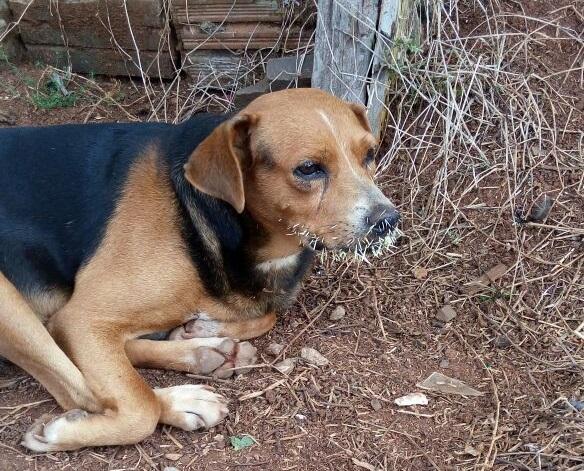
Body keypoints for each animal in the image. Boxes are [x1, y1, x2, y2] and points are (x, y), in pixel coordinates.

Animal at [0, 86, 396, 452]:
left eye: (369, 155)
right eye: (309, 168)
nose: (388, 220)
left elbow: (265, 316)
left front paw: (200, 329)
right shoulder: (82, 319)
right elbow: (136, 405)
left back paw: (208, 353)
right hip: (9, 302)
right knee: (83, 390)